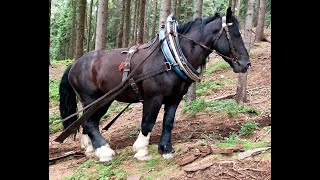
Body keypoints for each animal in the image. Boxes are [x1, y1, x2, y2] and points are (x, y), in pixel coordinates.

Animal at [58, 8, 251, 162]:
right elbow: (148, 123)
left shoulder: (174, 98)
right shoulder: (153, 98)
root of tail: (74, 64)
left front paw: (166, 150)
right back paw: (104, 152)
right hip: (92, 98)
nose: (246, 64)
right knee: (90, 123)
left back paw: (92, 150)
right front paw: (141, 150)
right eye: (235, 34)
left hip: (103, 100)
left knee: (89, 122)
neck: (169, 58)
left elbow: (168, 122)